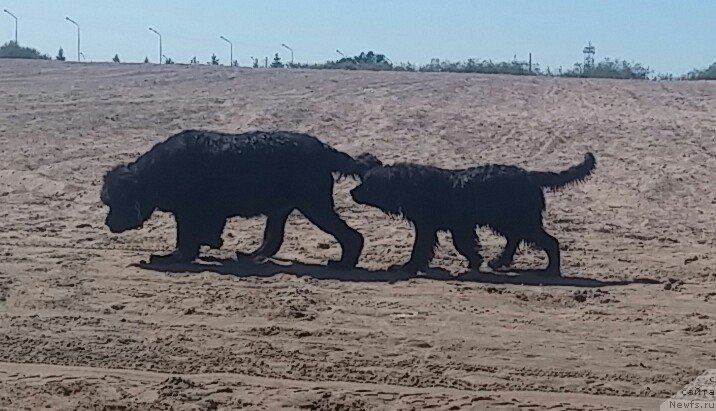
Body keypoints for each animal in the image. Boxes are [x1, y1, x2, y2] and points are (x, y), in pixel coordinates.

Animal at [103, 130, 380, 268]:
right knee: (273, 240)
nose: (108, 223)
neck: (158, 173)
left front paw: (173, 257)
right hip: (284, 208)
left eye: (116, 201)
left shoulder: (188, 213)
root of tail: (323, 150)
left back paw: (344, 263)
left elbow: (186, 240)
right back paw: (252, 256)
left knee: (352, 236)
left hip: (314, 205)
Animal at [350, 154, 596, 276]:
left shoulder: (432, 227)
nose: (351, 192)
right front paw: (475, 261)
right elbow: (460, 245)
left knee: (550, 242)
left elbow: (424, 248)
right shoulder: (455, 226)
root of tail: (530, 176)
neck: (412, 184)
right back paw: (499, 262)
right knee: (515, 240)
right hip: (511, 221)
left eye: (368, 183)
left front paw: (407, 267)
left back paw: (551, 270)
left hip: (521, 221)